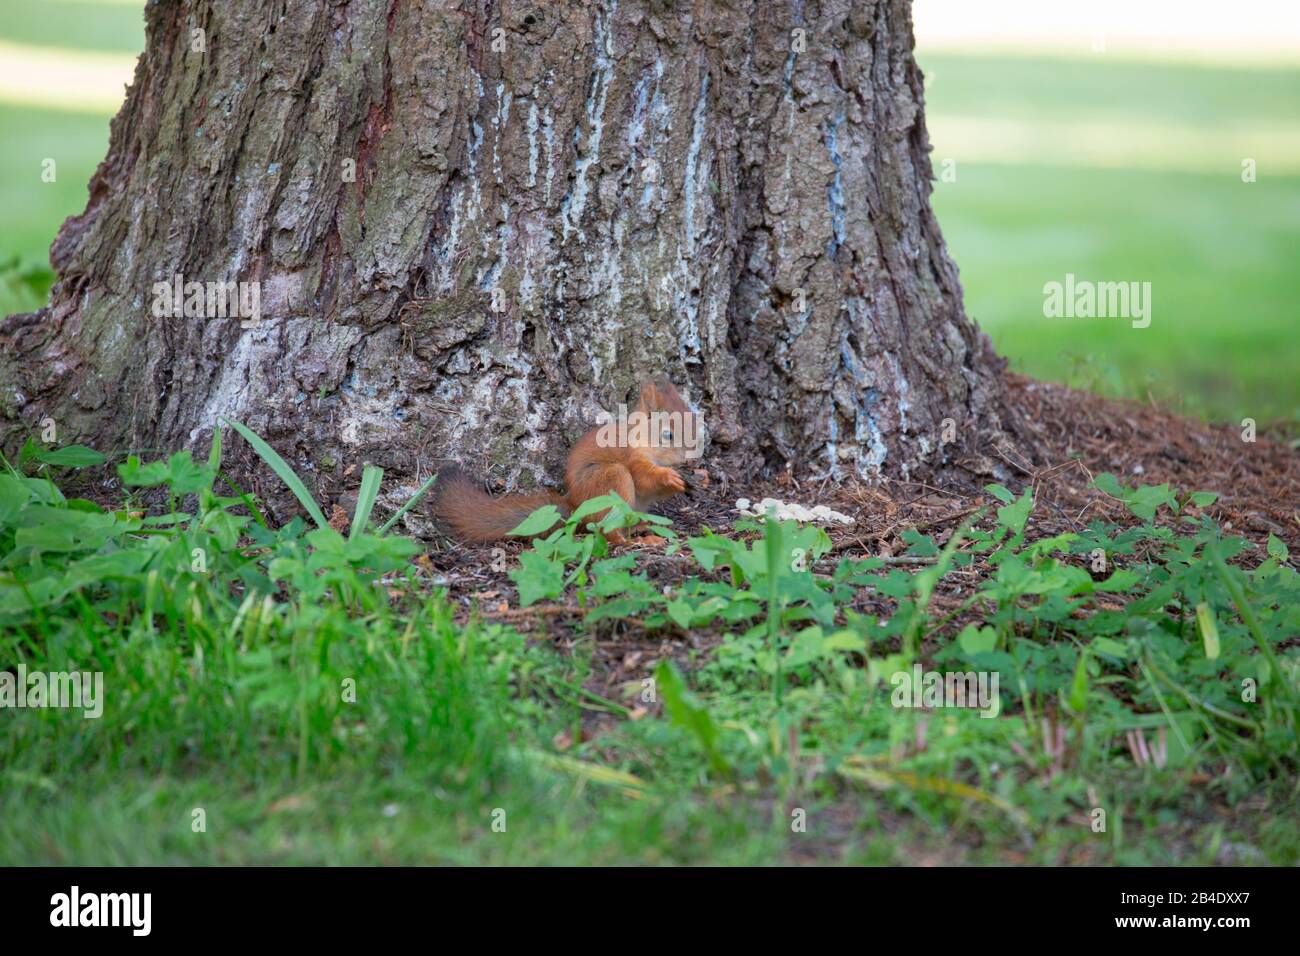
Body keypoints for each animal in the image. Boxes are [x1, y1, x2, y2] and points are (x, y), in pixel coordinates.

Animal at [434, 382, 702, 546]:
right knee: (608, 532)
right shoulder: (631, 459)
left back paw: (641, 528)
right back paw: (639, 541)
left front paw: (699, 477)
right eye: (668, 434)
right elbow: (646, 480)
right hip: (611, 479)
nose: (691, 458)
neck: (640, 441)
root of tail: (578, 510)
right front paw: (669, 476)